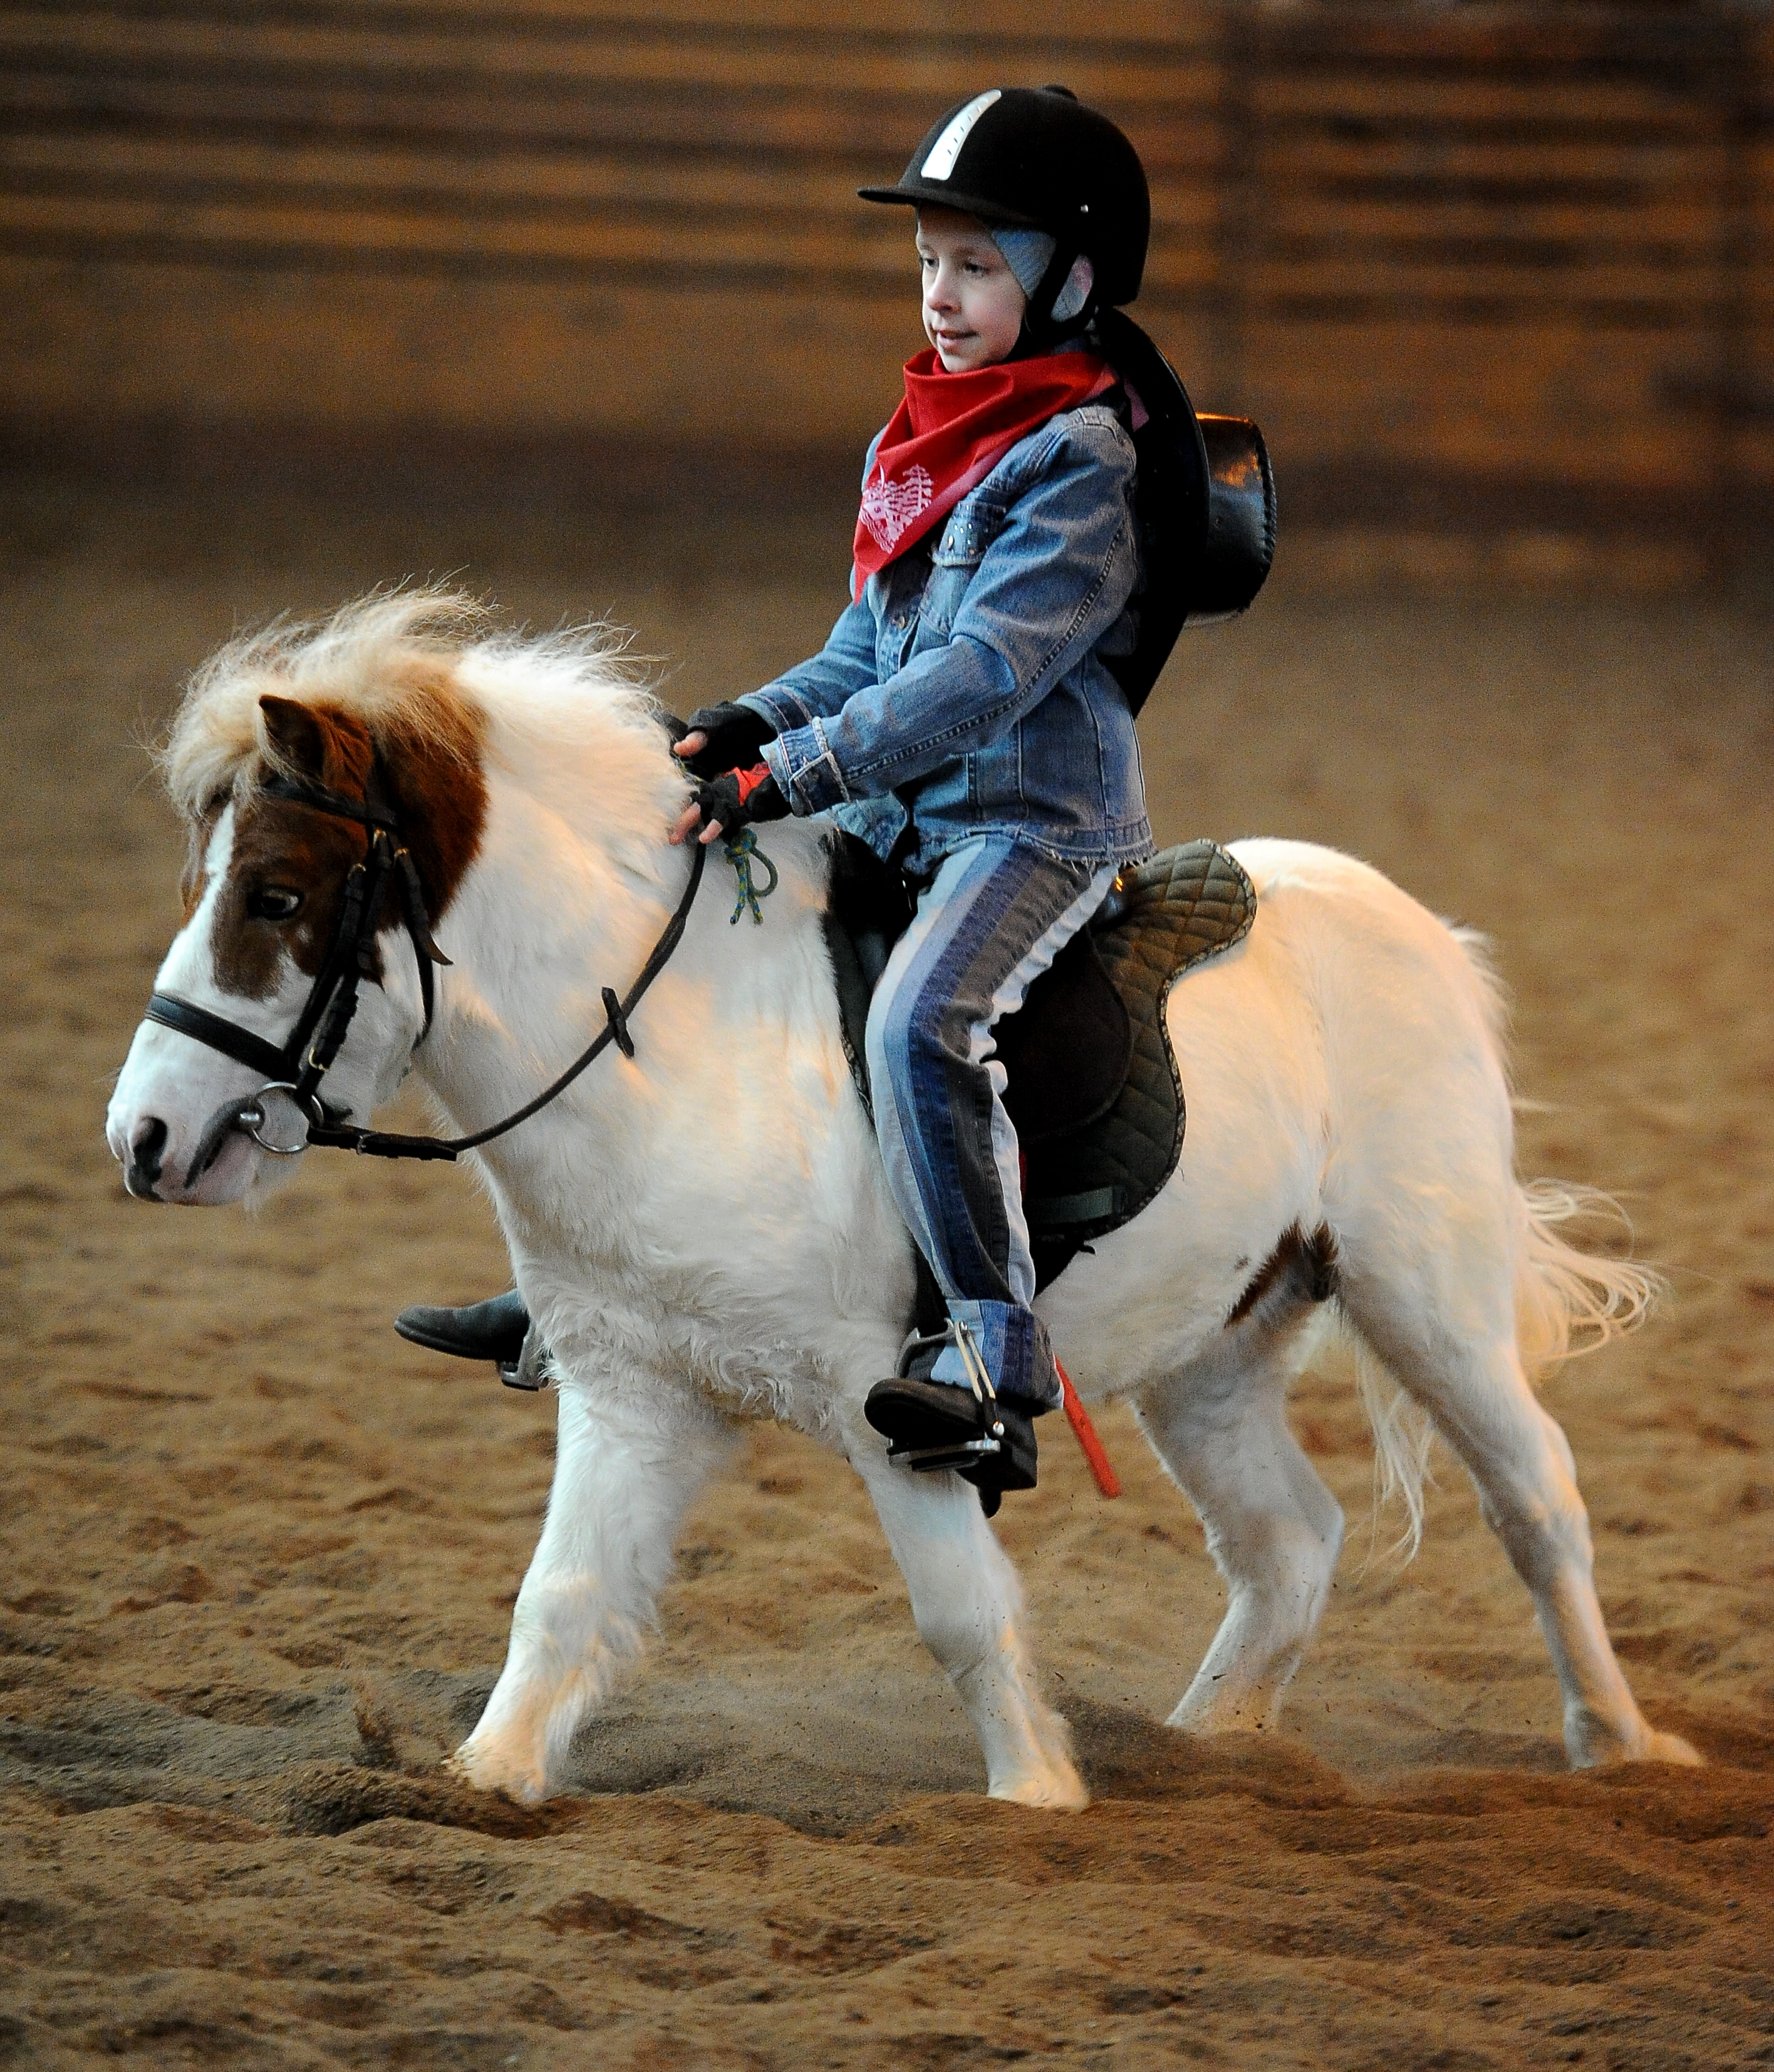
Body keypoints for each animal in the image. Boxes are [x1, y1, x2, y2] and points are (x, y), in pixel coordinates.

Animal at [104, 593, 1699, 1806]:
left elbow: (963, 1615)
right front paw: (482, 1783)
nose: (145, 1135)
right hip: (1213, 1352)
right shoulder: (638, 1389)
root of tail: (1417, 927)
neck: (674, 1039)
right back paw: (1208, 1749)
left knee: (1538, 1501)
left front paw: (1038, 1801)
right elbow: (561, 1603)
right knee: (1289, 1541)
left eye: (279, 896)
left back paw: (1622, 1747)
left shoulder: (894, 1410)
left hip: (1426, 1297)